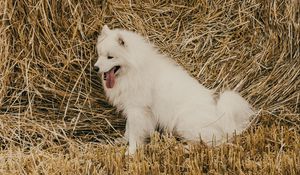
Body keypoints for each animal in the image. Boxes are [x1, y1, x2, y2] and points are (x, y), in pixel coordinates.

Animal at [94, 25, 253, 154]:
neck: (133, 70)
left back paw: (182, 148)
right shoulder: (133, 109)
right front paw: (122, 141)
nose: (95, 68)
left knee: (210, 143)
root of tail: (220, 117)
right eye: (100, 55)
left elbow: (134, 133)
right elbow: (129, 129)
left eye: (110, 57)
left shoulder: (137, 109)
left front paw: (131, 151)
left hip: (184, 122)